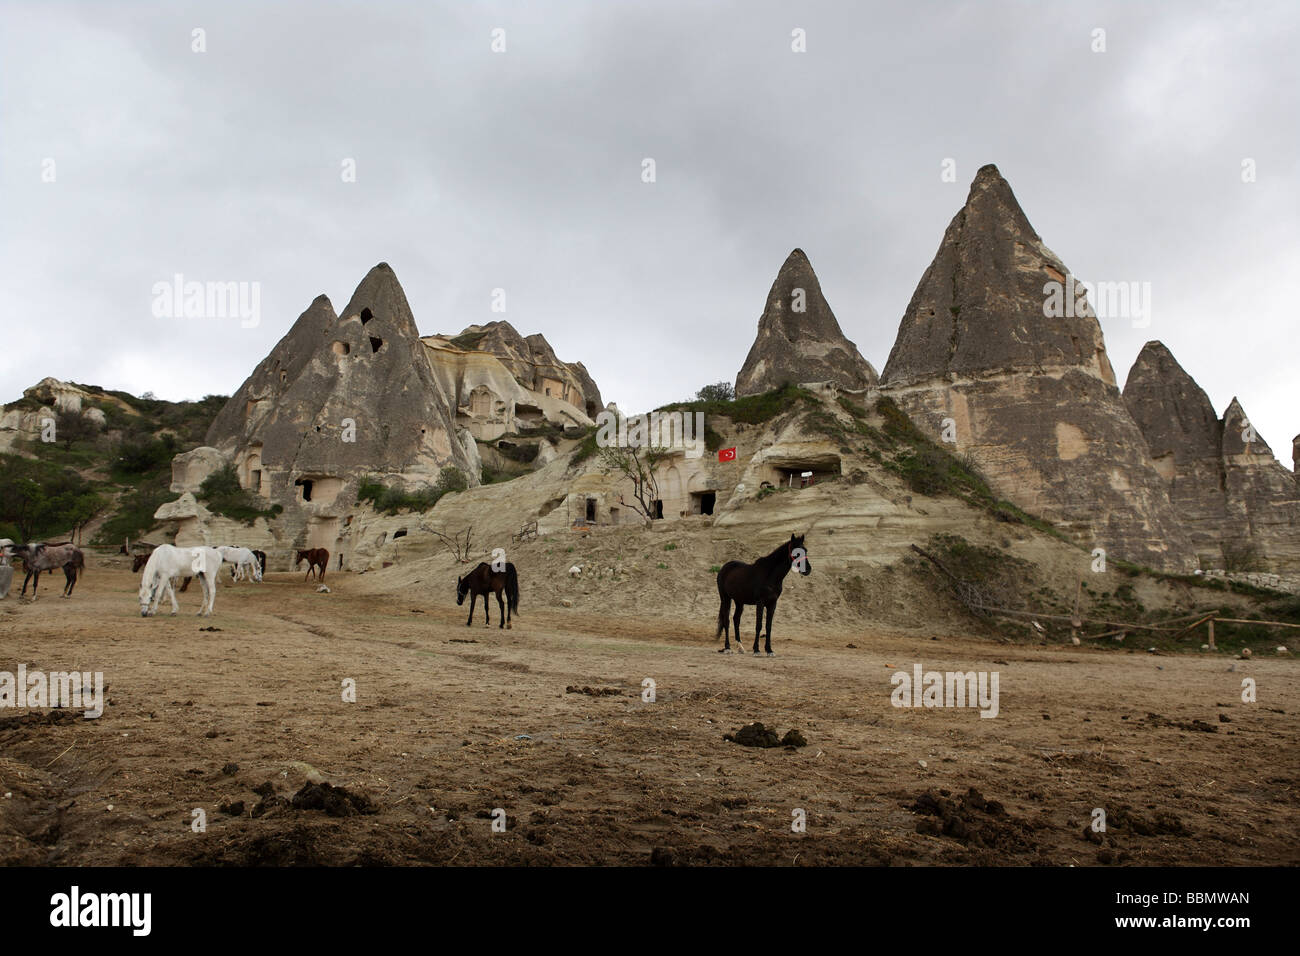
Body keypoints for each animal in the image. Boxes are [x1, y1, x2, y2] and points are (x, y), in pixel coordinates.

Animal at [717, 530, 806, 658]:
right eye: (796, 552)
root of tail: (724, 568)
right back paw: (727, 648)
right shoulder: (760, 602)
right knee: (726, 620)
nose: (807, 569)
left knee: (736, 619)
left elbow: (768, 626)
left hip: (739, 601)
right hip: (726, 598)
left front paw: (769, 650)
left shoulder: (772, 604)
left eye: (806, 550)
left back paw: (740, 647)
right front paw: (756, 650)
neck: (770, 576)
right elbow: (758, 625)